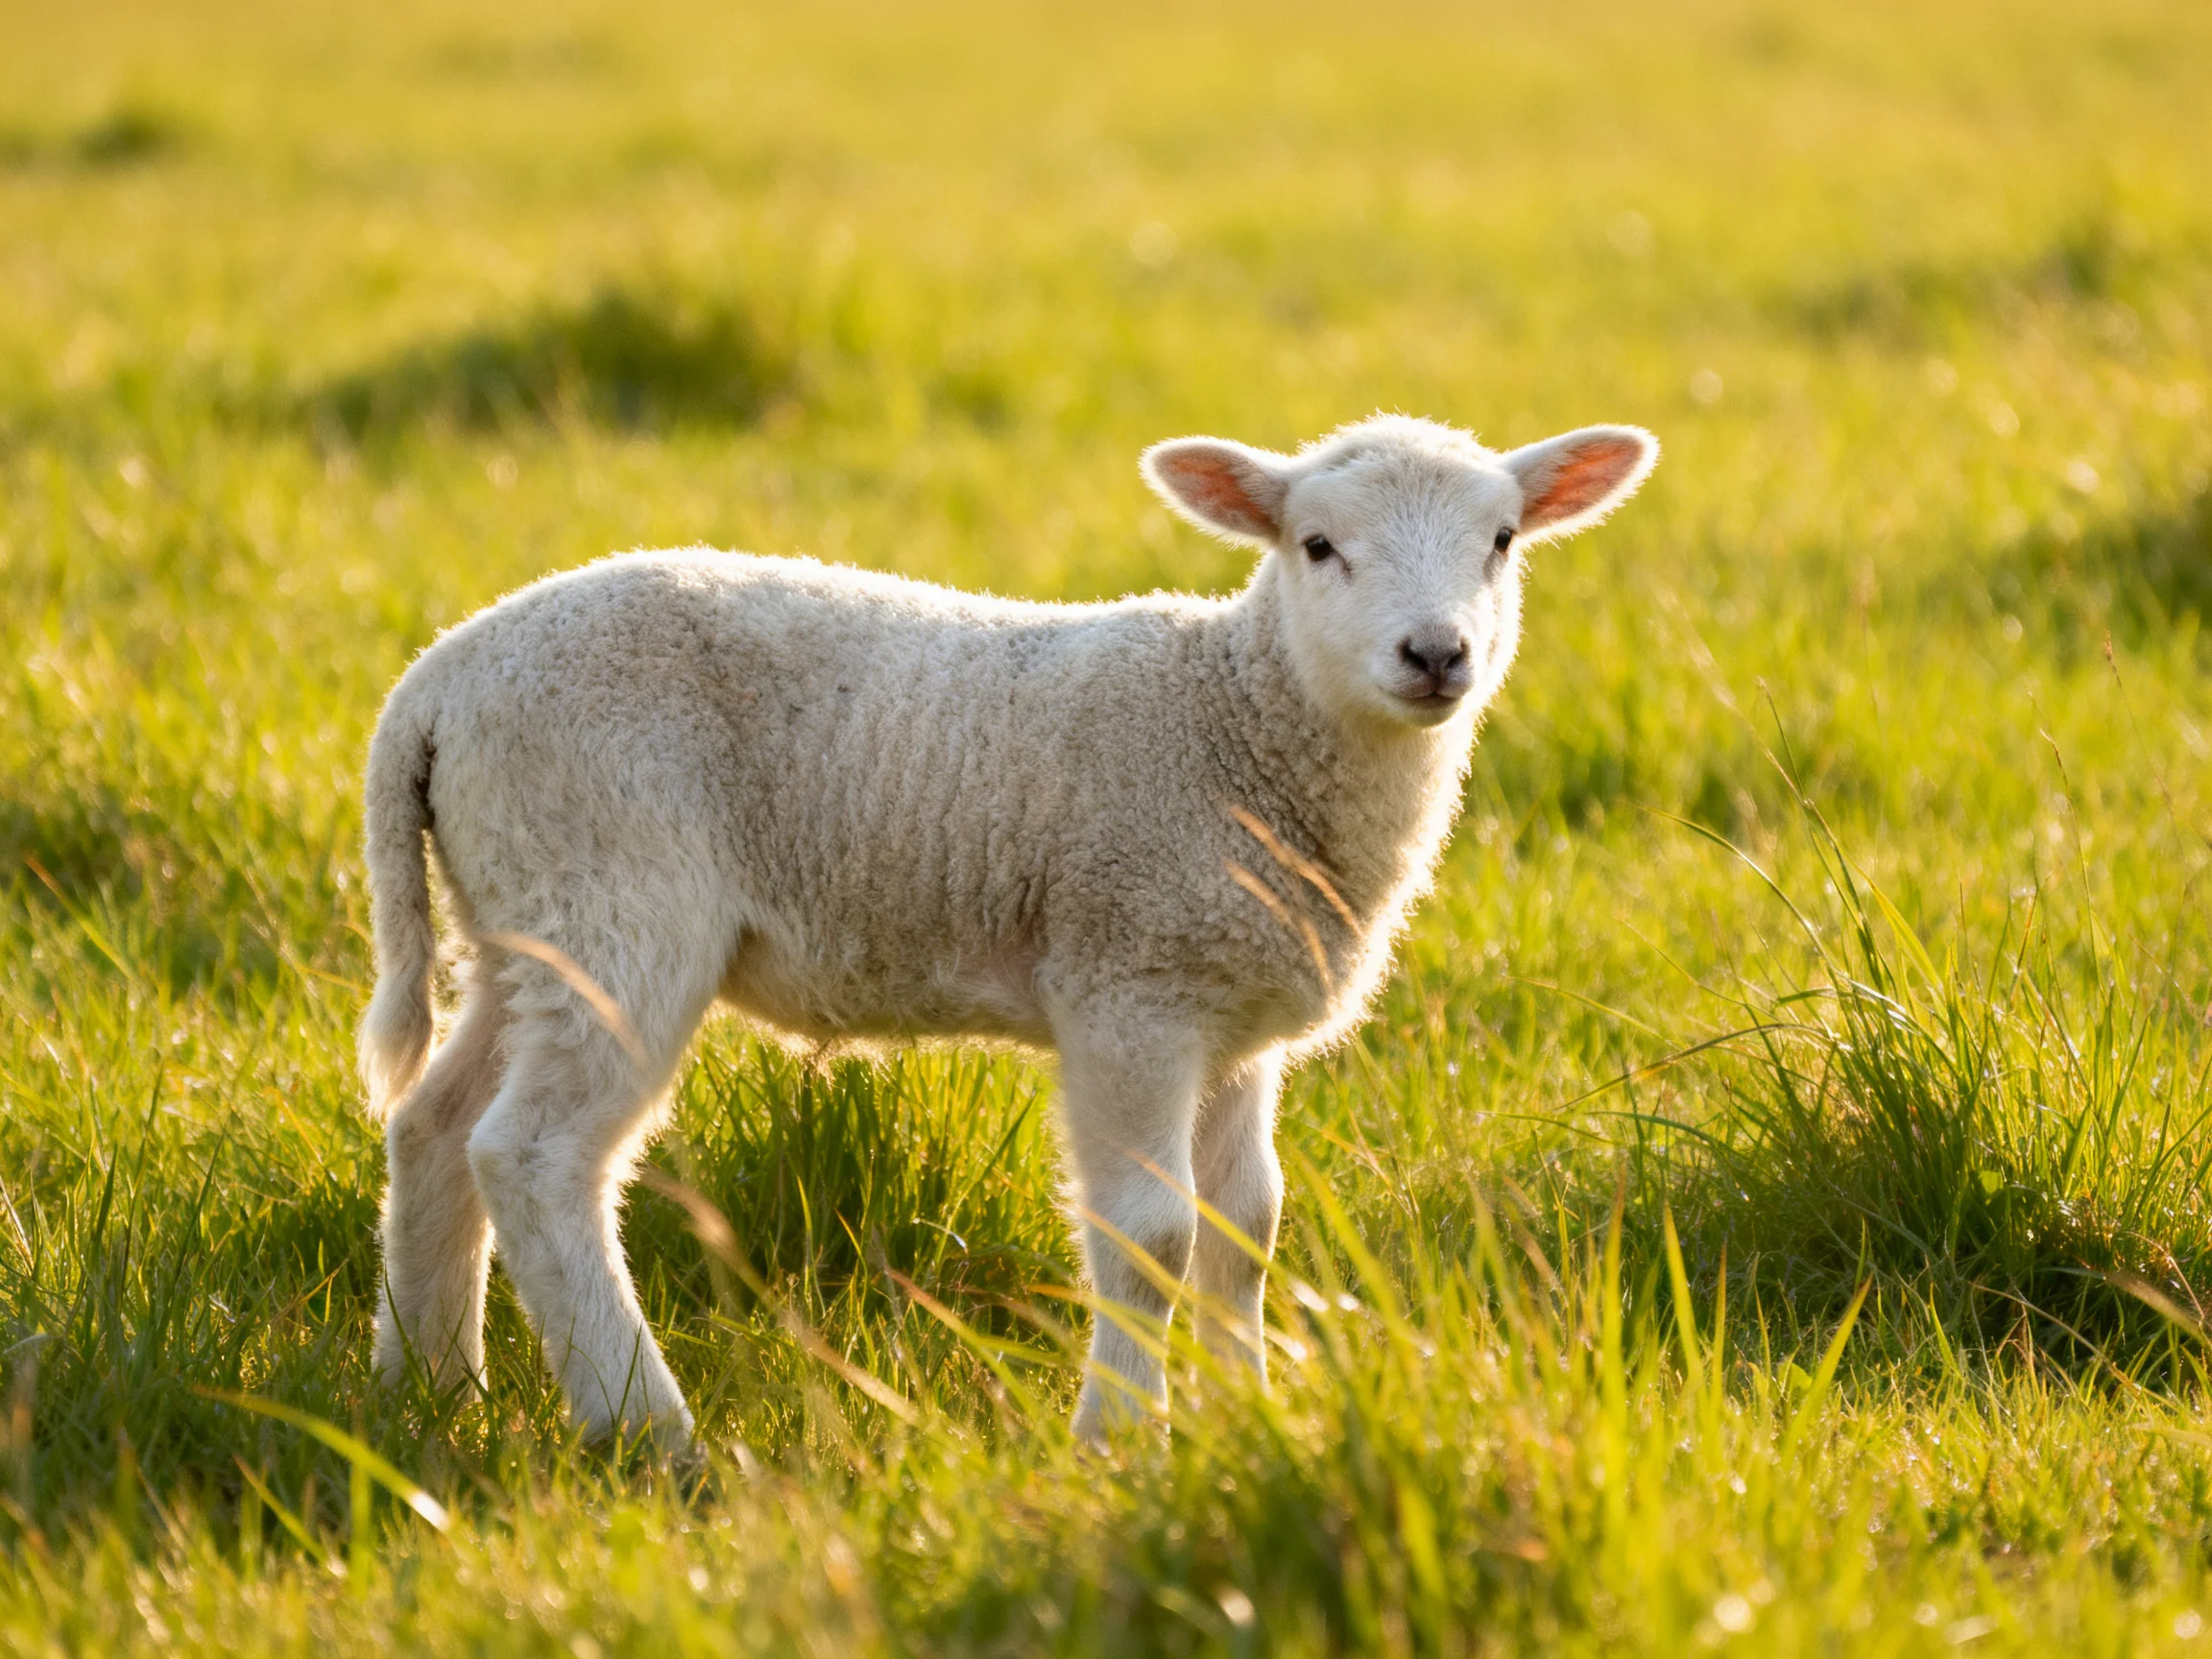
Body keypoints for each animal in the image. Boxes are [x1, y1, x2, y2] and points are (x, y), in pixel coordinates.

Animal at [357, 413, 1658, 1448]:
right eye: (1318, 546)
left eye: (1503, 541)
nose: (1436, 654)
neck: (1235, 719)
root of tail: (435, 684)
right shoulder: (1129, 984)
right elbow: (1152, 1233)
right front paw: (1124, 1441)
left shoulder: (1235, 1019)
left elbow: (1245, 1227)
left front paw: (1246, 1418)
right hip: (612, 896)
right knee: (533, 1155)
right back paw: (647, 1429)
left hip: (519, 916)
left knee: (435, 1125)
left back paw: (430, 1391)